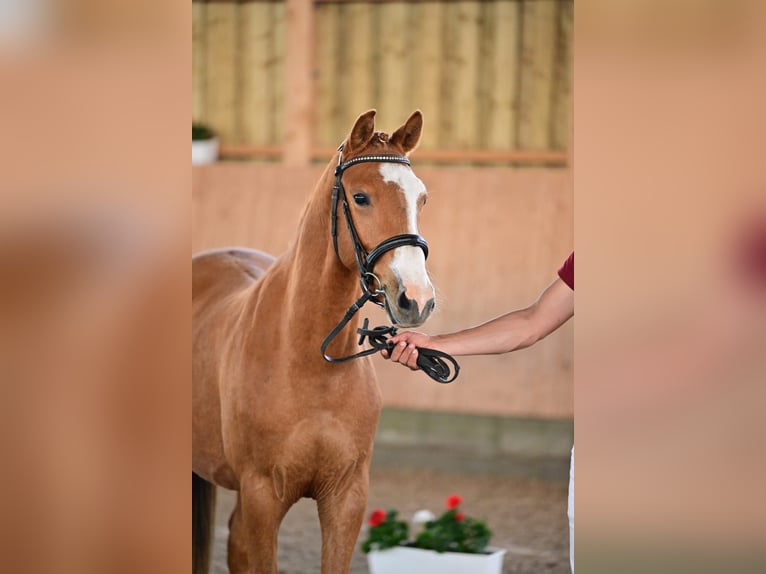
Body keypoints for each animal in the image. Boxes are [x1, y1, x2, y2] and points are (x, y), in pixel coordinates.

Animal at [192, 110, 438, 572]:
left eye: (422, 198)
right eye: (360, 197)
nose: (416, 299)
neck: (307, 362)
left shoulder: (346, 498)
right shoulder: (262, 498)